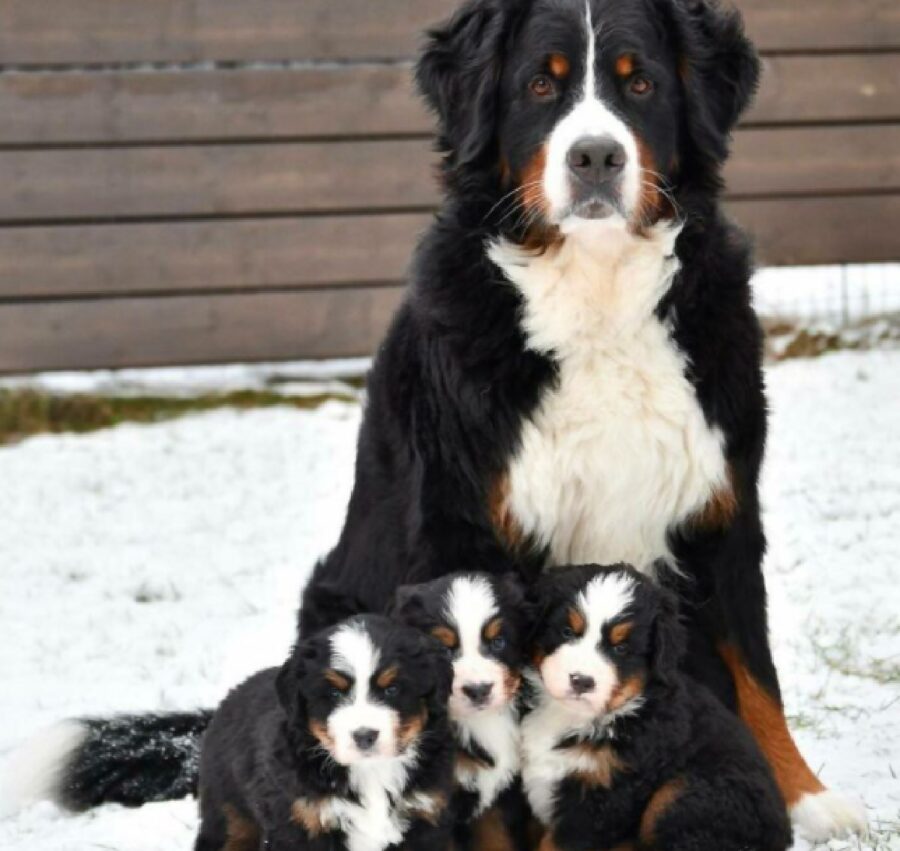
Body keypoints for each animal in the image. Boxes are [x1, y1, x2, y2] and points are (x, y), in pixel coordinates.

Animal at [193, 616, 454, 851]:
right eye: (334, 693)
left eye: (392, 689)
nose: (364, 736)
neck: (370, 772)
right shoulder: (302, 823)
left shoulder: (426, 815)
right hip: (230, 816)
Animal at [392, 572, 532, 851]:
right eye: (444, 650)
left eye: (498, 642)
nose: (478, 690)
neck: (480, 723)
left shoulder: (502, 796)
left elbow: (499, 840)